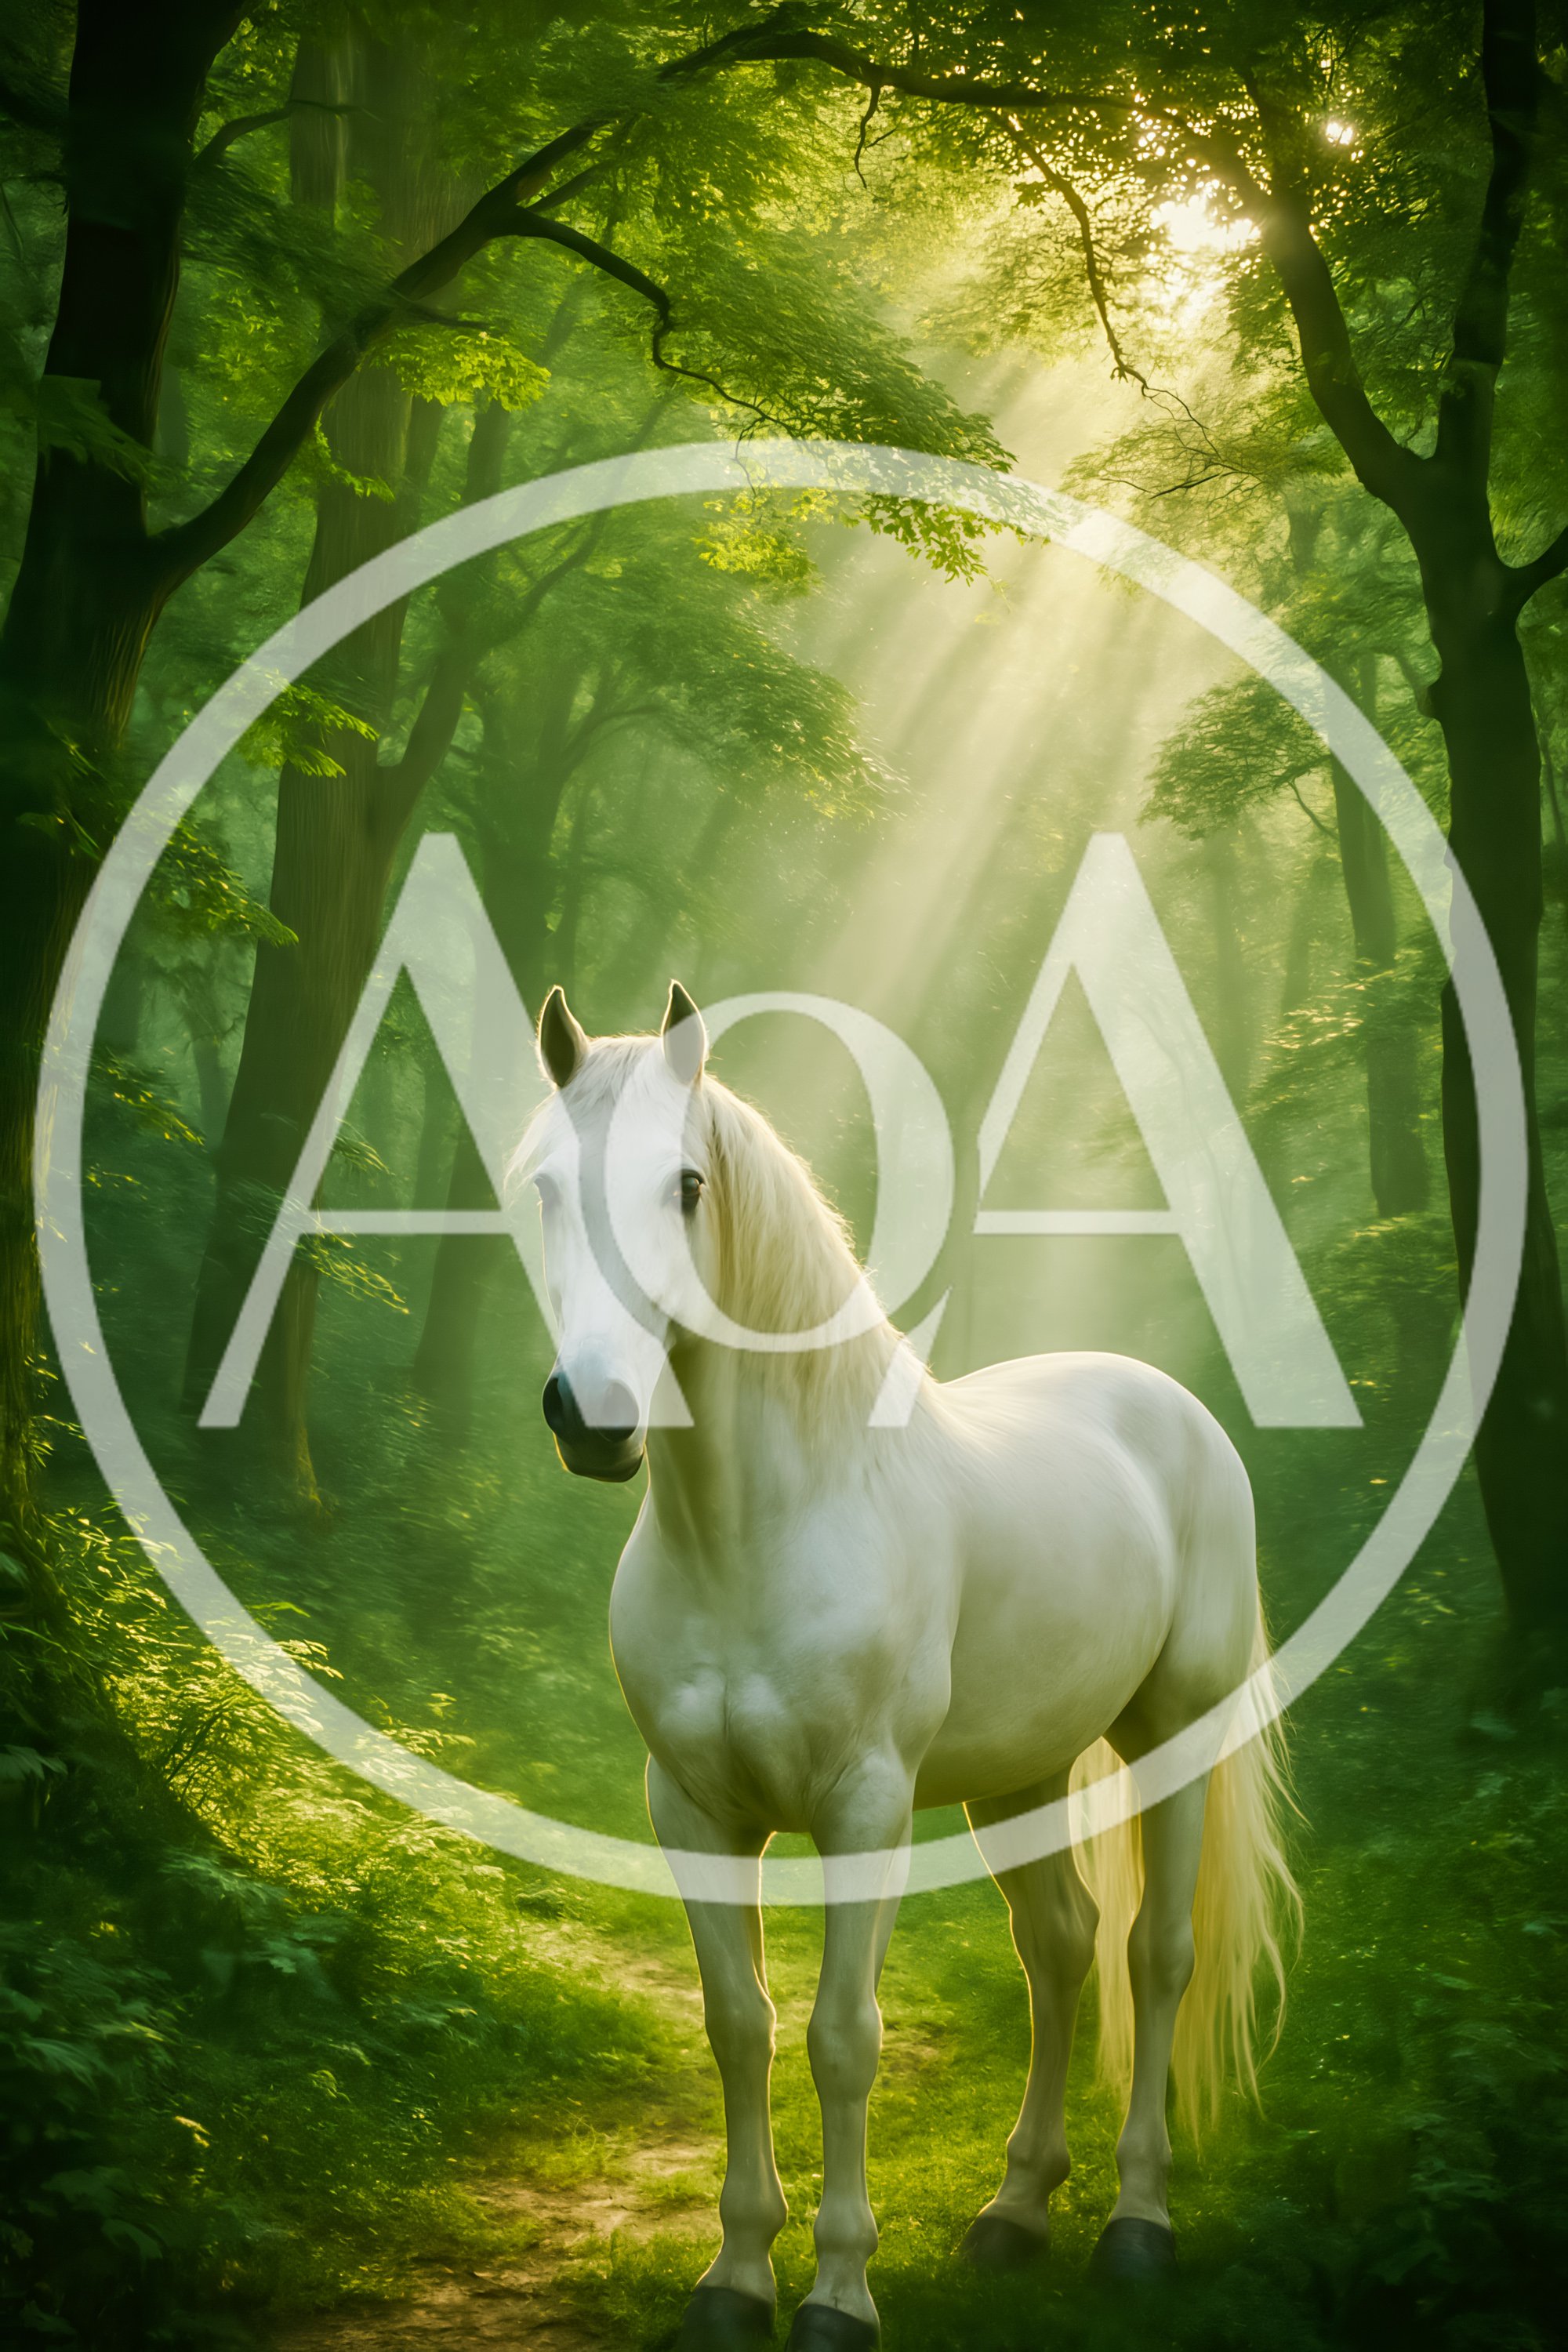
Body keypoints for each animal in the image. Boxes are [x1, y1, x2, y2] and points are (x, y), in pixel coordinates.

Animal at [516, 979, 1298, 2350]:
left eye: (685, 1185)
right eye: (550, 1185)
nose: (598, 1416)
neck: (762, 1529)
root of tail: (1173, 1409)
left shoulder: (864, 1809)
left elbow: (842, 2037)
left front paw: (838, 2293)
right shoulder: (692, 1811)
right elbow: (739, 2027)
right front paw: (734, 2280)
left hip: (1173, 1739)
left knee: (1153, 1957)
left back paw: (1136, 2227)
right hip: (1020, 1775)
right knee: (1062, 1950)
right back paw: (1015, 2212)